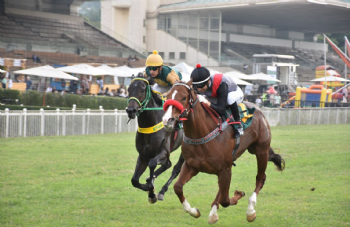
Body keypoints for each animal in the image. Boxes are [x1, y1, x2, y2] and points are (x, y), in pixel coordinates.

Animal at [161, 80, 284, 223]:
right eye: (167, 96)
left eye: (184, 97)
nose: (167, 120)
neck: (201, 134)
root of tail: (258, 110)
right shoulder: (192, 166)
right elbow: (178, 187)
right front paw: (194, 211)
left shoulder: (225, 168)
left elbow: (226, 200)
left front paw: (238, 194)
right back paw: (214, 212)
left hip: (261, 150)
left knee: (260, 177)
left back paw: (250, 211)